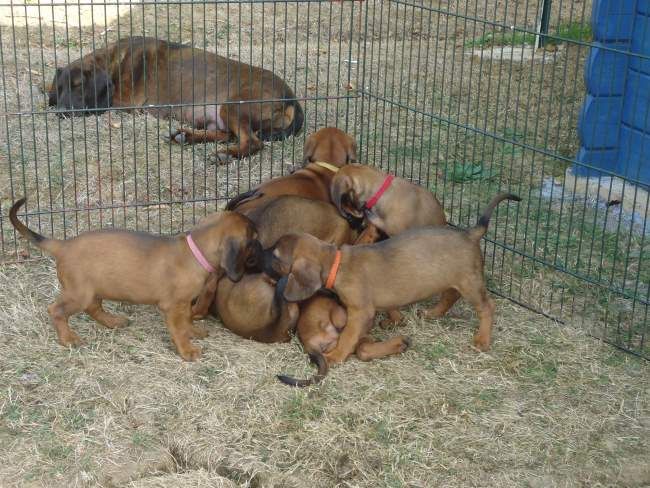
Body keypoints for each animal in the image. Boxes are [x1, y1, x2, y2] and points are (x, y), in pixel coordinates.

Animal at [10, 198, 260, 360]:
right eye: (253, 241)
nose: (262, 250)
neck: (195, 251)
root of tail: (63, 245)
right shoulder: (173, 306)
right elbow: (179, 329)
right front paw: (187, 351)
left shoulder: (184, 305)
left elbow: (188, 320)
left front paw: (194, 332)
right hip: (79, 293)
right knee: (56, 310)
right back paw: (68, 338)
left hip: (94, 289)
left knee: (93, 308)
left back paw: (113, 322)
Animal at [47, 36, 303, 161]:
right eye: (58, 89)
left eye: (79, 86)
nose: (60, 112)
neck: (113, 62)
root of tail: (292, 97)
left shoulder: (127, 105)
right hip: (220, 116)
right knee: (227, 135)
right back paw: (186, 136)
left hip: (233, 106)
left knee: (252, 142)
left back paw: (225, 155)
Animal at [265, 193, 521, 383]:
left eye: (275, 256)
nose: (259, 259)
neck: (338, 262)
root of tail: (469, 234)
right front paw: (395, 320)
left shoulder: (359, 313)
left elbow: (348, 337)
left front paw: (336, 356)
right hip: (452, 279)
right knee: (450, 296)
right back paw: (432, 313)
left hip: (469, 283)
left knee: (487, 307)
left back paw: (482, 339)